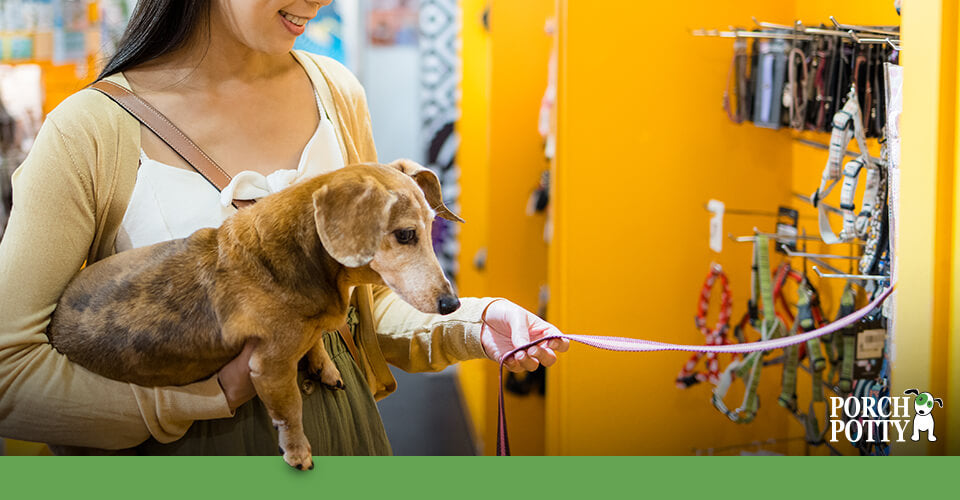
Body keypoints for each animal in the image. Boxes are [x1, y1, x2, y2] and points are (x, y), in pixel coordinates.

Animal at [48, 159, 464, 468]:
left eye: (431, 226)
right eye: (406, 235)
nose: (452, 304)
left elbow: (315, 343)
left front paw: (324, 364)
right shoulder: (269, 368)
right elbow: (291, 411)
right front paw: (298, 453)